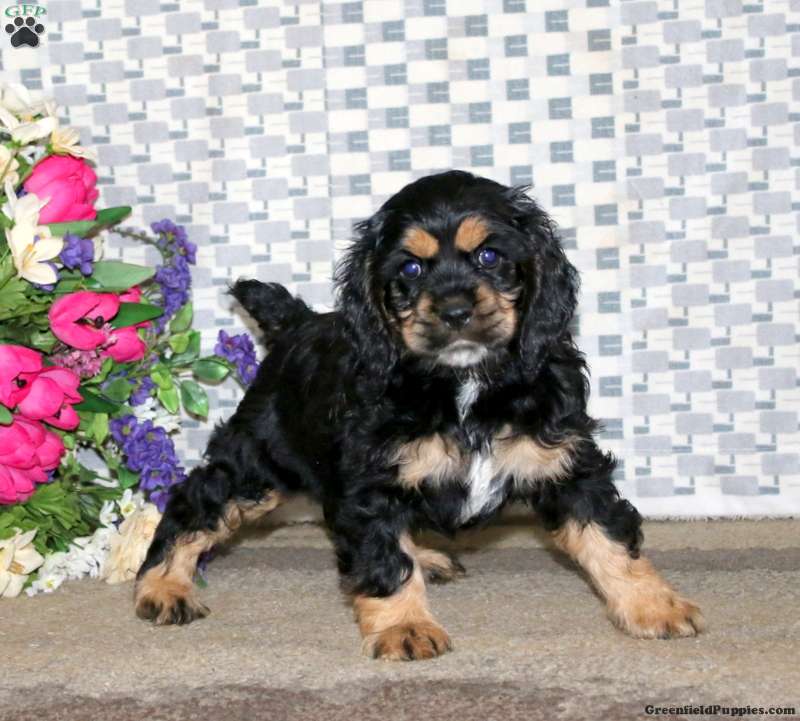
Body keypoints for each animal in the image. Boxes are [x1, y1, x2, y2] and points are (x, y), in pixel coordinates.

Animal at [134, 170, 704, 660]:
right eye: (410, 268)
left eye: (490, 256)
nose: (454, 311)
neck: (464, 383)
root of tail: (298, 323)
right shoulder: (372, 483)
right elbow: (385, 557)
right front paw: (405, 627)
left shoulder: (567, 463)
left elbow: (609, 537)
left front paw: (654, 606)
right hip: (259, 462)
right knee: (196, 502)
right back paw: (162, 585)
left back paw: (427, 558)